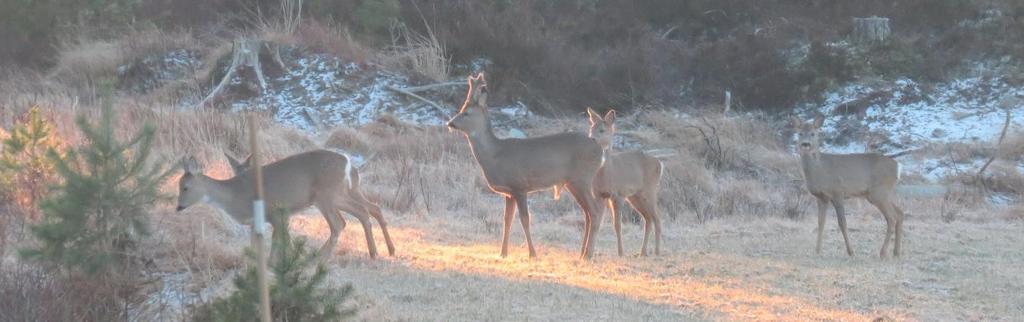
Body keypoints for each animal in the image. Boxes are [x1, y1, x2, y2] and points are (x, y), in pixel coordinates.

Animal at [176, 149, 395, 257]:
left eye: (185, 187)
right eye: (178, 185)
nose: (178, 207)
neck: (236, 195)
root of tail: (348, 161)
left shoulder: (276, 212)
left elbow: (278, 241)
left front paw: (275, 264)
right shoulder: (259, 220)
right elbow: (255, 245)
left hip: (328, 195)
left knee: (342, 222)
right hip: (341, 193)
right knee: (370, 209)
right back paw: (386, 250)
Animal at [444, 72, 602, 259]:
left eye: (466, 113)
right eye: (461, 109)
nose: (450, 123)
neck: (495, 155)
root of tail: (600, 150)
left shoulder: (519, 186)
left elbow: (525, 219)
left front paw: (532, 253)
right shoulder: (509, 192)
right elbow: (507, 220)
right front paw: (503, 253)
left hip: (583, 178)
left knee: (595, 211)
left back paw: (588, 255)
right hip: (573, 183)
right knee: (587, 213)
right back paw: (582, 253)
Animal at [589, 108, 667, 256]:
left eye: (602, 130)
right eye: (591, 128)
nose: (590, 139)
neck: (607, 173)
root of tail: (660, 164)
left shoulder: (618, 195)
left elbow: (617, 225)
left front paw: (620, 252)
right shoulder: (600, 195)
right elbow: (597, 222)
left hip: (650, 189)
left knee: (657, 217)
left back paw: (657, 251)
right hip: (635, 196)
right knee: (648, 218)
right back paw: (642, 252)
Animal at [790, 115, 905, 259]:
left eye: (813, 133)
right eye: (800, 133)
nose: (805, 144)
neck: (820, 170)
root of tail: (898, 167)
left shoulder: (838, 192)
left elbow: (842, 223)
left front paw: (851, 252)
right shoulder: (821, 198)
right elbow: (821, 223)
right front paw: (817, 250)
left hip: (878, 193)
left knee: (892, 217)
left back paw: (883, 252)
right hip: (882, 193)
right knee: (900, 213)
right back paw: (896, 252)